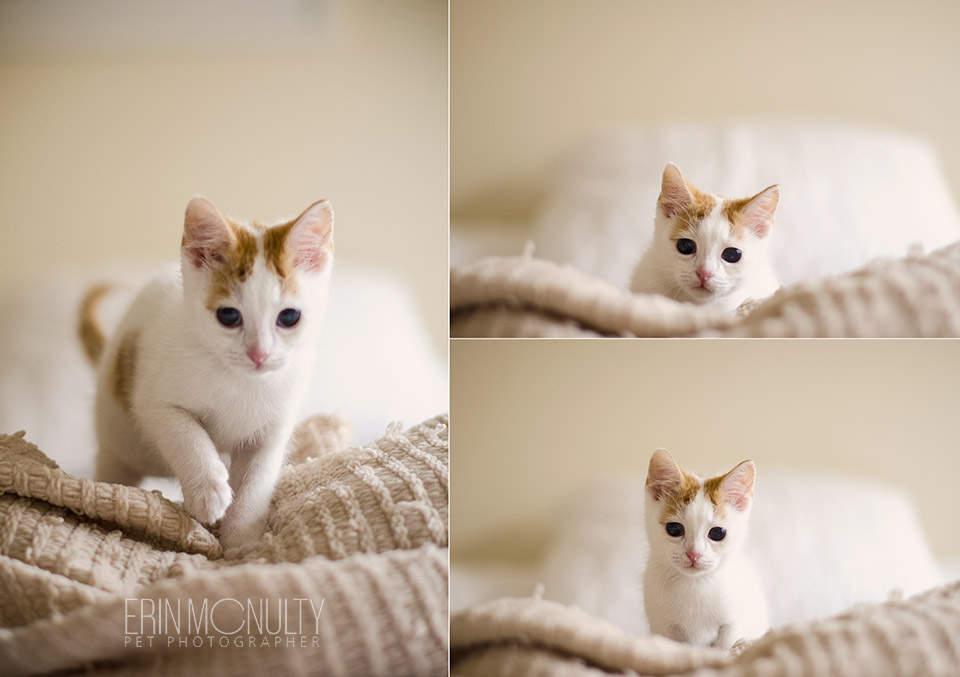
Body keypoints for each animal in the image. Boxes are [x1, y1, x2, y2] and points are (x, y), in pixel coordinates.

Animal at [79, 198, 334, 556]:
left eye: (289, 317)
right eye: (228, 316)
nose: (259, 354)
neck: (241, 380)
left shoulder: (273, 429)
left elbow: (256, 483)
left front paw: (242, 543)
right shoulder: (155, 401)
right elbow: (187, 436)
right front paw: (208, 490)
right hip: (117, 437)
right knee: (115, 465)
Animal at [640, 446, 768, 648]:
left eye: (717, 533)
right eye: (674, 529)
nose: (694, 554)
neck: (695, 585)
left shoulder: (732, 623)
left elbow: (726, 645)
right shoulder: (664, 626)